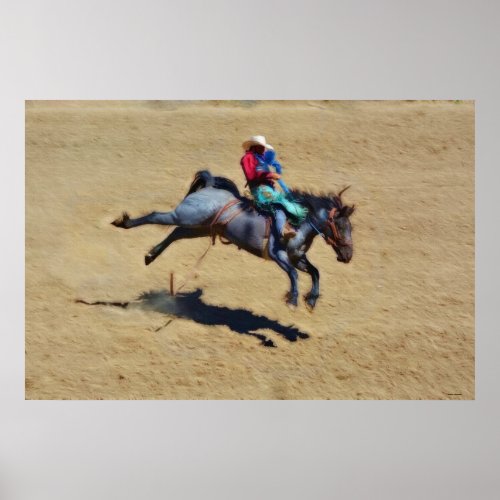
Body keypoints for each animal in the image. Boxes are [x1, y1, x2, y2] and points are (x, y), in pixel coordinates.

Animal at [112, 172, 356, 312]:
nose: (348, 256)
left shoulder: (298, 257)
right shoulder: (278, 255)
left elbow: (315, 272)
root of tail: (210, 186)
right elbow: (294, 275)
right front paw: (293, 300)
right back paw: (123, 223)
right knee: (156, 216)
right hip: (186, 216)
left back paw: (150, 255)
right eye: (342, 226)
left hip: (199, 227)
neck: (297, 222)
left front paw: (311, 300)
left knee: (176, 233)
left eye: (351, 228)